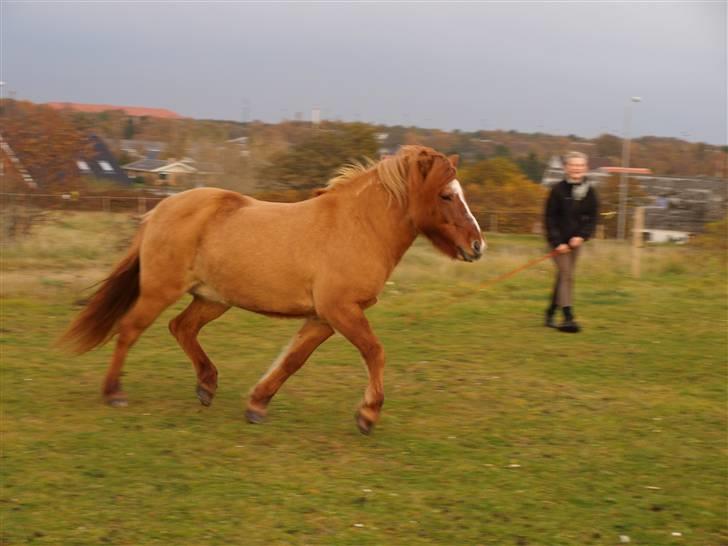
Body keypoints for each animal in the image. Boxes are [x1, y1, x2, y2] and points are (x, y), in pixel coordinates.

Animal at [61, 144, 484, 434]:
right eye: (446, 195)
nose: (477, 245)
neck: (358, 227)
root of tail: (158, 210)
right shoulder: (341, 311)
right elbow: (375, 353)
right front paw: (368, 414)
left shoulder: (324, 318)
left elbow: (293, 360)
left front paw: (257, 405)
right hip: (159, 291)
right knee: (129, 330)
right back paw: (114, 393)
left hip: (213, 299)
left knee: (182, 328)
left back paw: (206, 386)